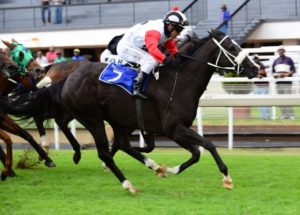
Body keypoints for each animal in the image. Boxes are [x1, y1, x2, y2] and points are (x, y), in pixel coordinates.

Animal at [58, 29, 258, 191]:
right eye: (231, 47)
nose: (255, 68)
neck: (179, 82)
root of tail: (69, 79)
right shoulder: (173, 128)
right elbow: (208, 145)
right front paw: (226, 177)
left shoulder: (175, 130)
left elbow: (196, 153)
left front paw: (169, 169)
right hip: (93, 119)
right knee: (105, 152)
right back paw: (128, 184)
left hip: (117, 120)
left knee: (121, 144)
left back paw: (152, 166)